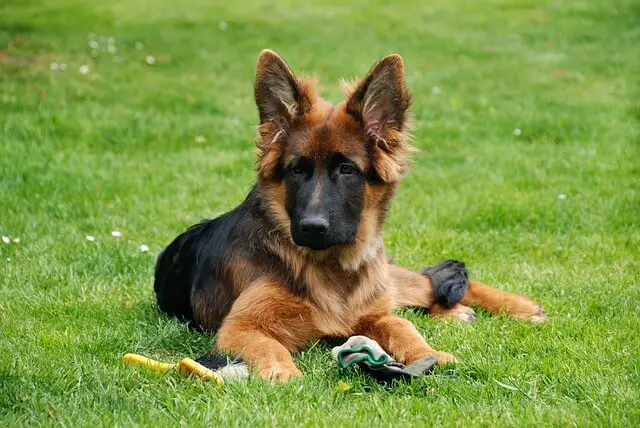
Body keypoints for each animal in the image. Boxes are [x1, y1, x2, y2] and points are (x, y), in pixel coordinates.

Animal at [154, 49, 544, 382]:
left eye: (347, 170)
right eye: (297, 170)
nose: (312, 228)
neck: (330, 269)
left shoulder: (373, 313)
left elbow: (402, 326)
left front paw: (428, 353)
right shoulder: (239, 327)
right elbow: (268, 344)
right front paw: (284, 373)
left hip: (386, 280)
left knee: (426, 283)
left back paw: (518, 307)